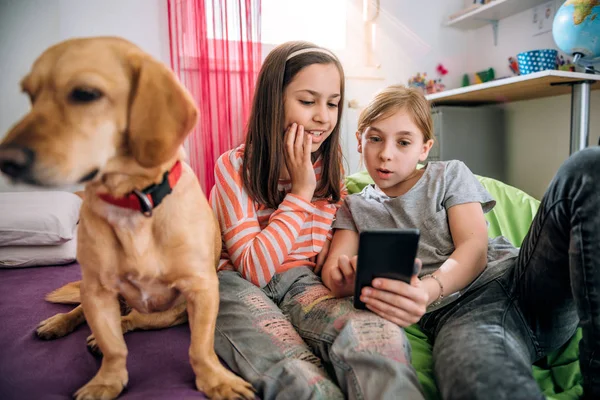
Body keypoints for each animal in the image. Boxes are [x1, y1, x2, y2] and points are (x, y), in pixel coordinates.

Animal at [0, 36, 253, 400]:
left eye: (85, 93)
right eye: (30, 96)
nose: (6, 160)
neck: (133, 203)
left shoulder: (201, 290)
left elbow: (199, 348)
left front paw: (216, 380)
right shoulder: (97, 291)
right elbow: (114, 348)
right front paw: (106, 381)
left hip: (166, 314)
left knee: (132, 320)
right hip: (93, 294)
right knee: (83, 312)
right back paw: (58, 324)